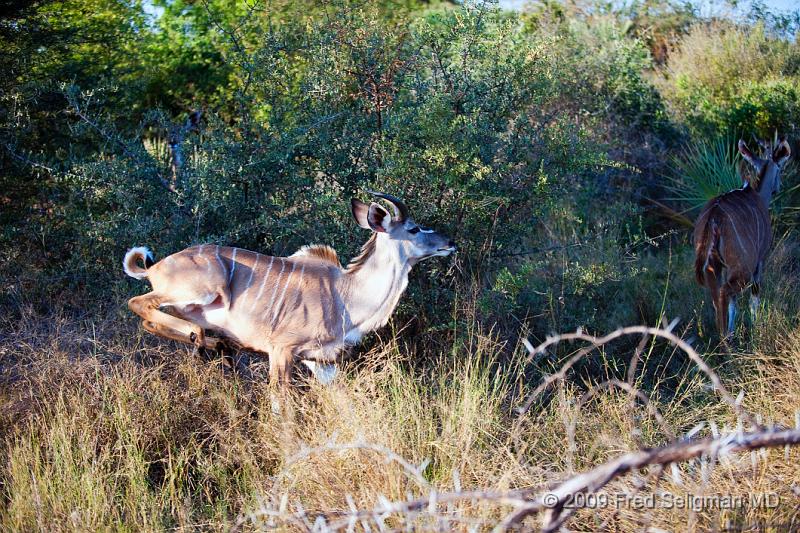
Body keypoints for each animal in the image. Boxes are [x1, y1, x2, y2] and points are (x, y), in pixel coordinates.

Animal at [122, 193, 454, 384]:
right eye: (413, 229)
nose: (449, 242)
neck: (344, 295)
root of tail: (153, 267)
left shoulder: (319, 361)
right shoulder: (281, 350)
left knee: (152, 320)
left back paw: (215, 344)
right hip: (201, 288)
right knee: (139, 302)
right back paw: (204, 338)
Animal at [692, 137, 788, 336]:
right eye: (780, 169)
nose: (778, 187)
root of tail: (714, 216)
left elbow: (734, 304)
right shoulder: (760, 260)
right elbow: (754, 297)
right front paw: (756, 328)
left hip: (713, 266)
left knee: (717, 295)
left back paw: (725, 336)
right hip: (743, 267)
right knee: (725, 292)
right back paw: (726, 338)